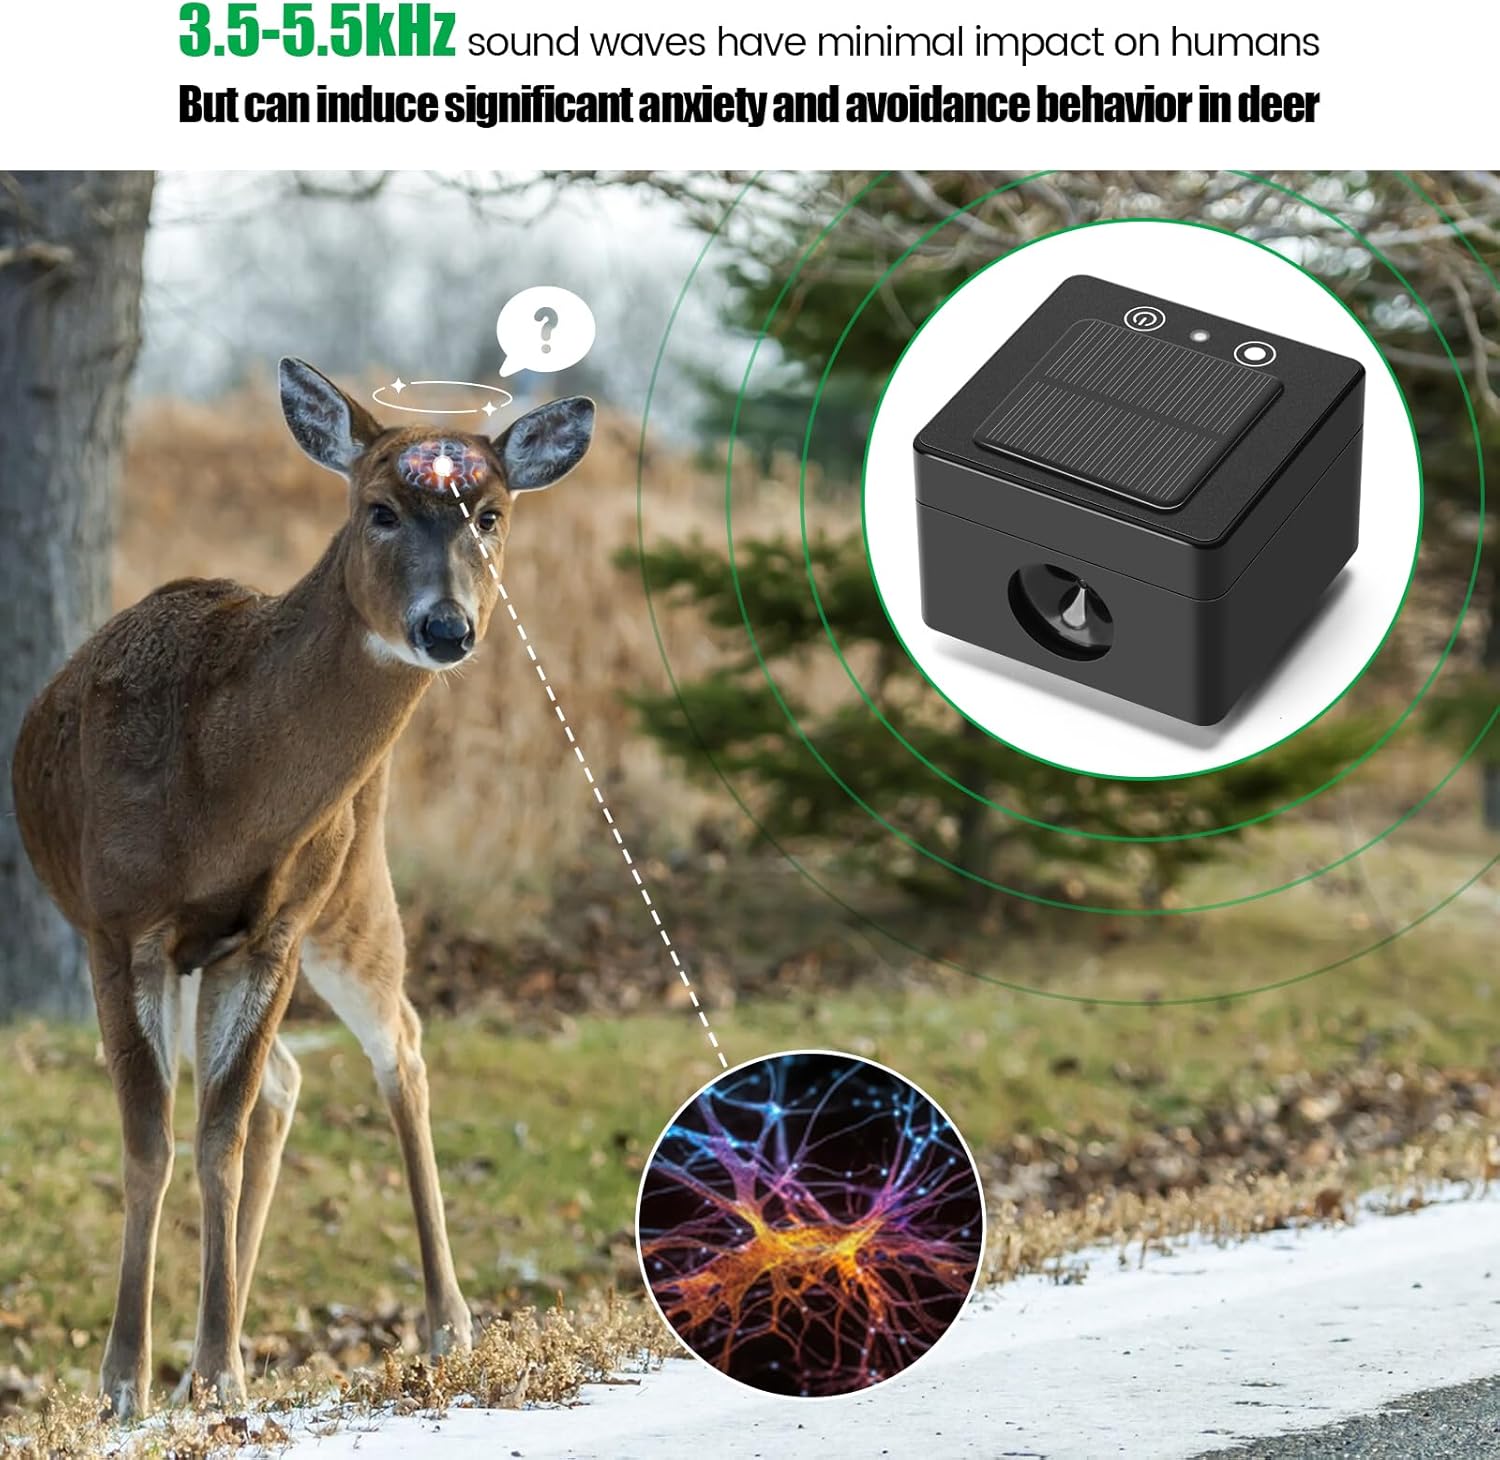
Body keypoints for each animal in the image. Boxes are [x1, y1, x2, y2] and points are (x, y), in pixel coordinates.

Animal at [10, 360, 595, 1419]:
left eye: (491, 514)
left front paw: (214, 1370)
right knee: (283, 1082)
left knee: (395, 1044)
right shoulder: (118, 927)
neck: (218, 788)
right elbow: (155, 1139)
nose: (446, 626)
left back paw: (447, 1326)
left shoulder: (275, 930)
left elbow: (215, 1135)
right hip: (221, 950)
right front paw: (129, 1383)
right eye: (378, 510)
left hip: (351, 892)